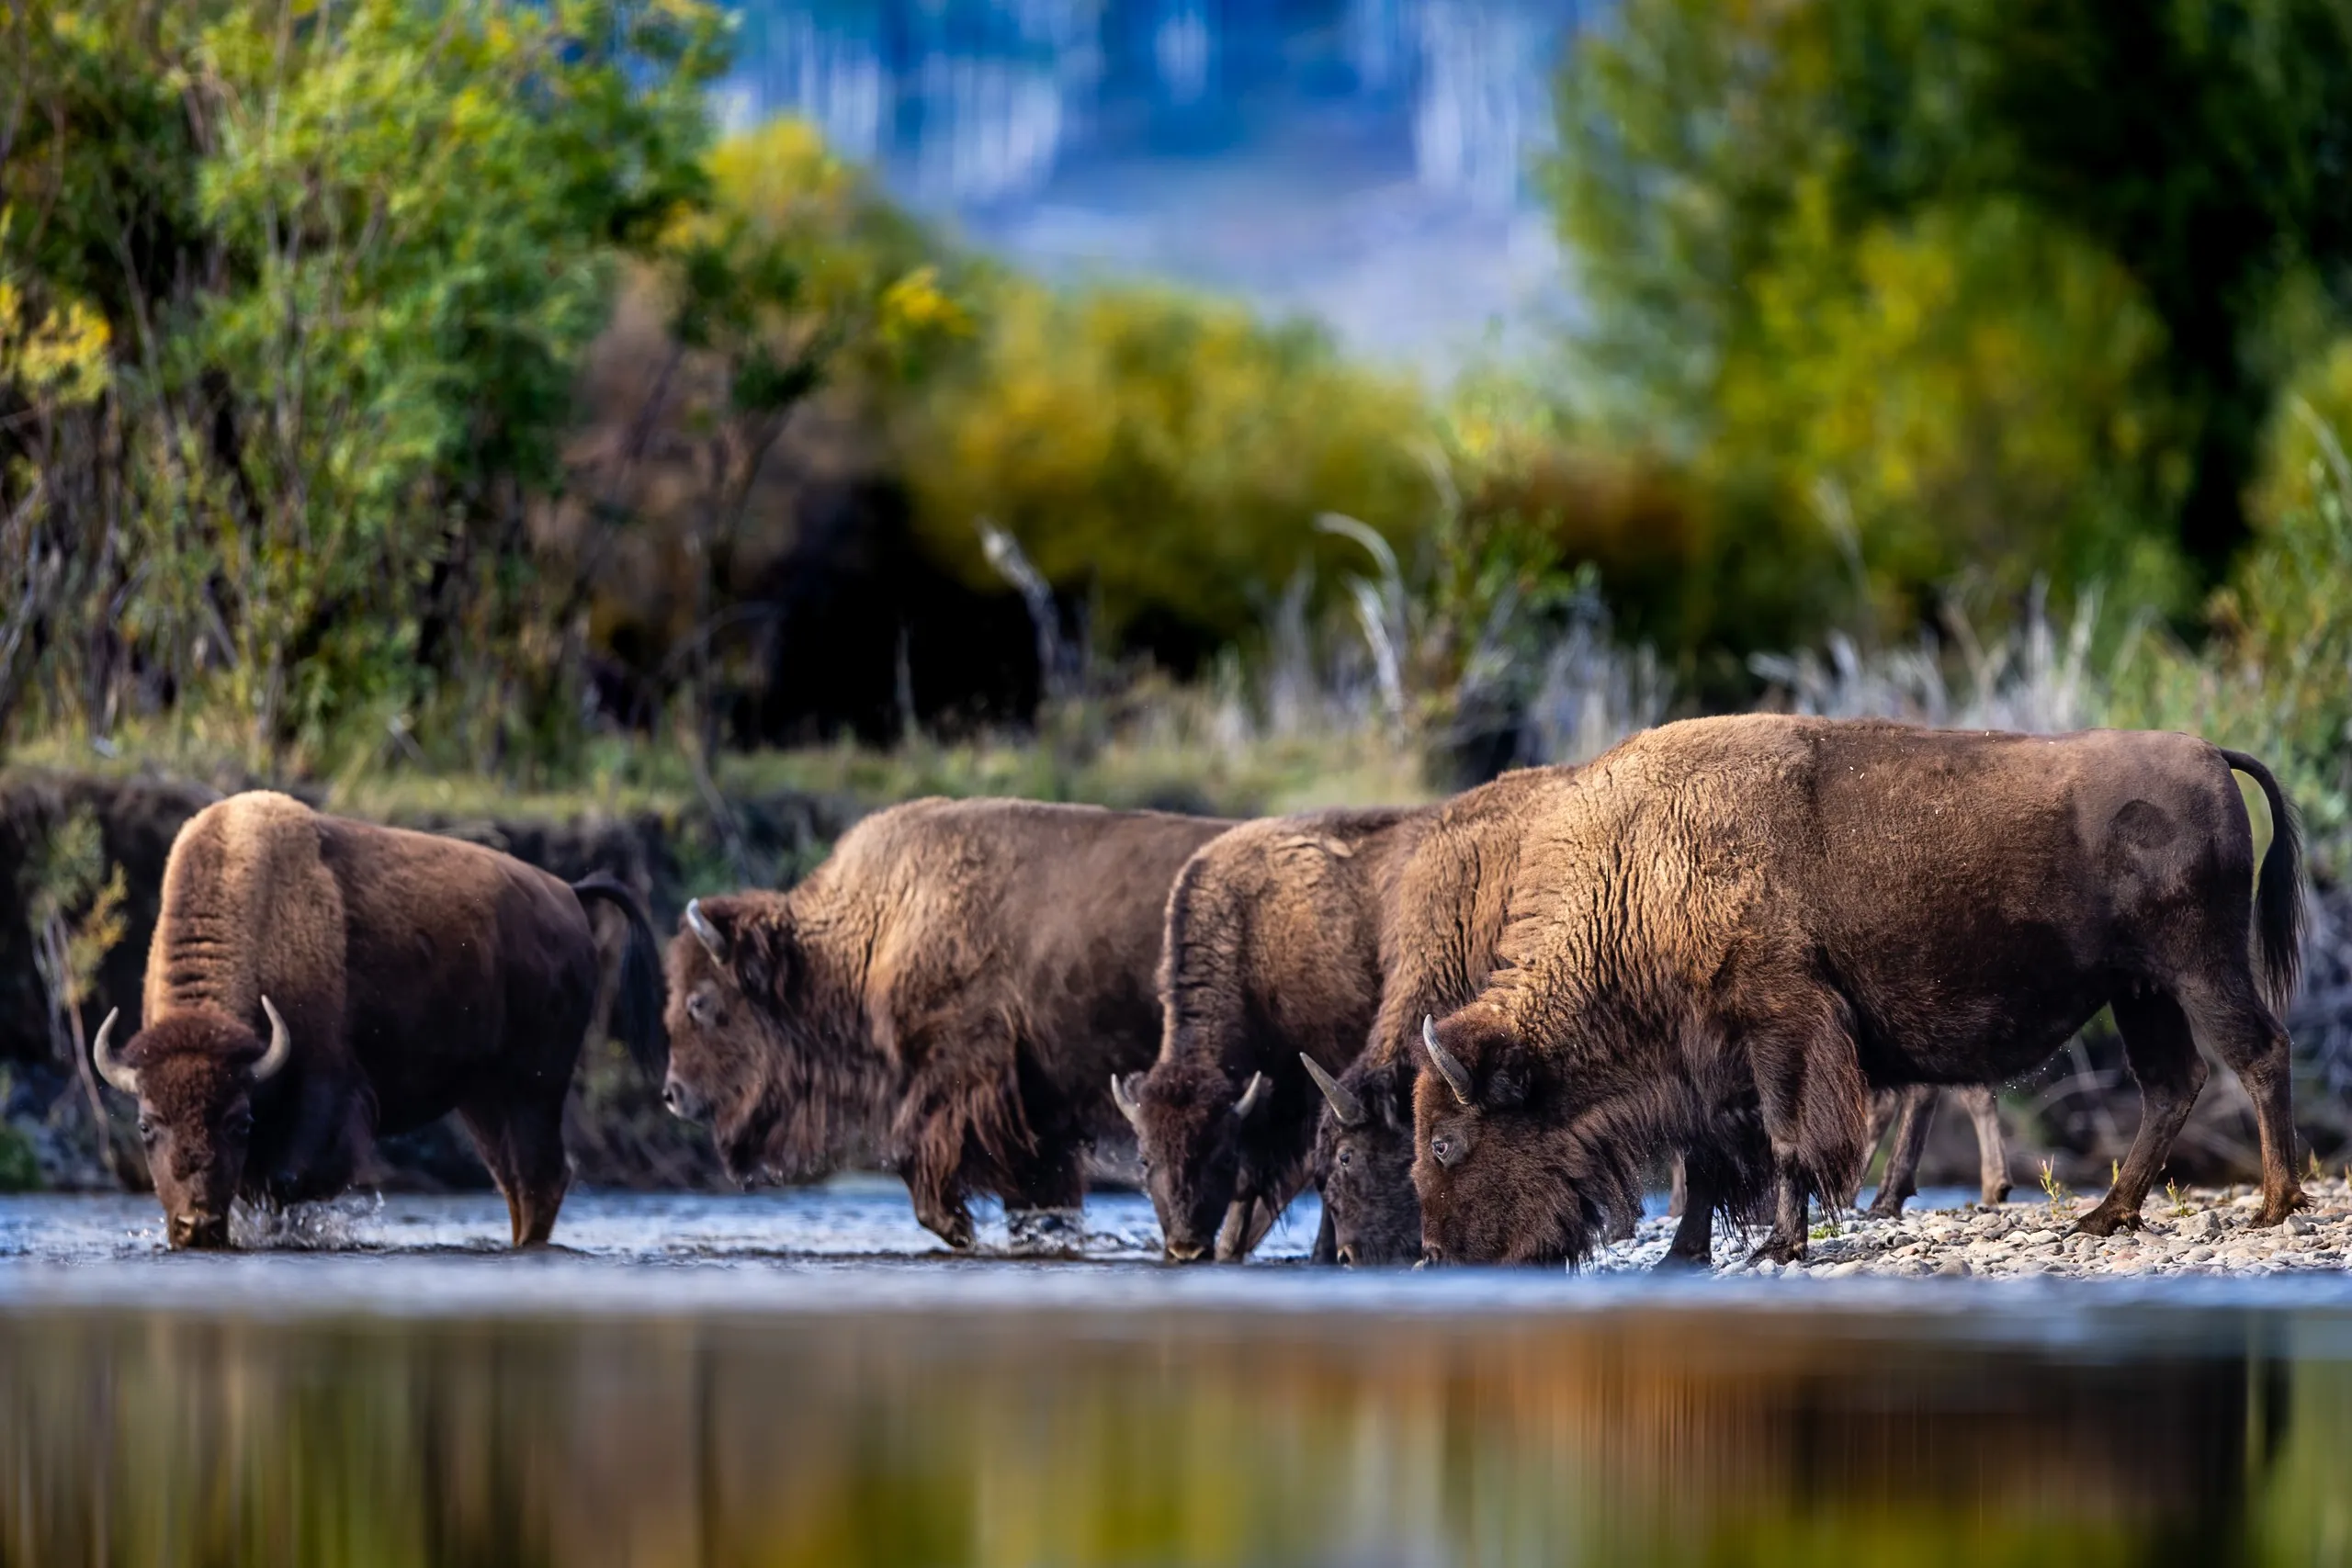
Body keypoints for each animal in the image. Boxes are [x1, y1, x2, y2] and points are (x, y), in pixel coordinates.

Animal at [93, 791, 663, 1249]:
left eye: (239, 1122)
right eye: (146, 1124)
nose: (196, 1226)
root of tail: (568, 893)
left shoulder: (325, 1095)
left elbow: (287, 1182)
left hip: (535, 1088)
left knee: (541, 1179)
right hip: (484, 1099)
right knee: (515, 1183)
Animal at [661, 797, 1229, 1250]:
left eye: (699, 1002)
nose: (672, 1093)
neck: (879, 924)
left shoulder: (964, 1078)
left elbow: (916, 1158)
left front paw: (959, 1230)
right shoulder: (1039, 1118)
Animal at [1414, 717, 2303, 1266]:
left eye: (1446, 1142)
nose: (1436, 1253)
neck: (1642, 875)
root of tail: (2210, 754)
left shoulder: (1781, 1031)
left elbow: (1785, 1144)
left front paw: (1781, 1245)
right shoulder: (1708, 1068)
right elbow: (1709, 1162)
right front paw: (1684, 1254)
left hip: (2200, 966)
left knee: (2259, 1052)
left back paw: (2274, 1203)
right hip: (2141, 990)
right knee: (2173, 1085)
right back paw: (2106, 1214)